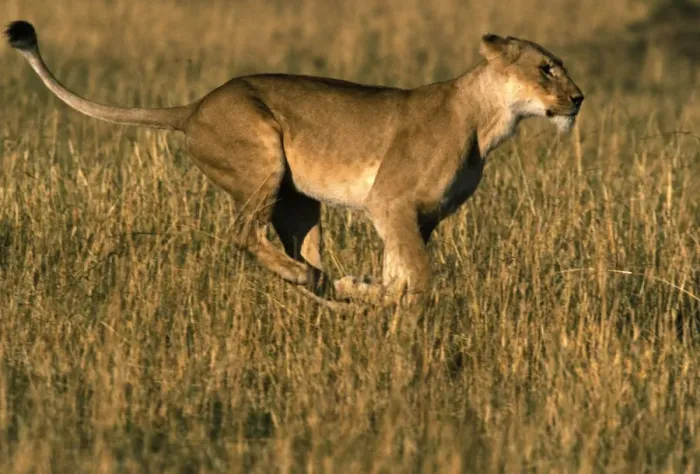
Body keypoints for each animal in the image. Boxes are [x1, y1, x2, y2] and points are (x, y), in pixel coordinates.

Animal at [5, 21, 583, 305]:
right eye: (546, 68)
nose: (579, 99)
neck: (490, 121)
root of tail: (193, 107)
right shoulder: (390, 202)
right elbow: (419, 279)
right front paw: (402, 316)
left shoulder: (419, 218)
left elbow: (399, 274)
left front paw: (369, 293)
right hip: (263, 158)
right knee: (243, 234)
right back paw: (313, 280)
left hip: (298, 203)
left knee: (297, 254)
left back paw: (326, 286)